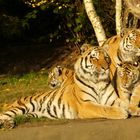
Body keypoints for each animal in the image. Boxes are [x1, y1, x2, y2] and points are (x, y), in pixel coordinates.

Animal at [0, 44, 128, 129]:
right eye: (94, 57)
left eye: (106, 57)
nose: (105, 68)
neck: (98, 82)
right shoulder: (85, 105)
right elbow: (103, 108)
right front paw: (122, 113)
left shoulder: (112, 99)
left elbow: (126, 103)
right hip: (20, 108)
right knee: (2, 116)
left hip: (31, 114)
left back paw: (9, 124)